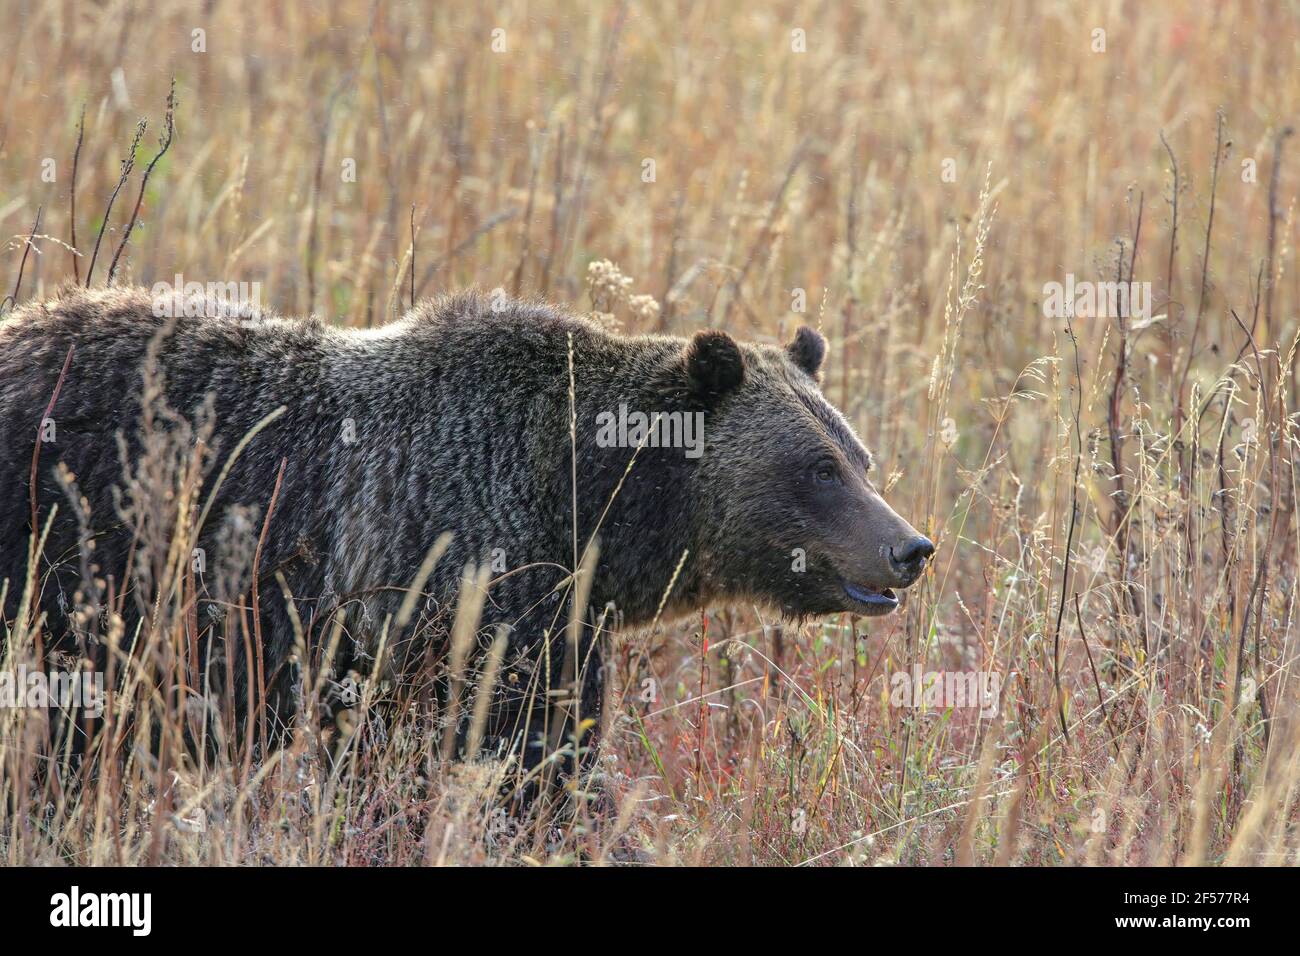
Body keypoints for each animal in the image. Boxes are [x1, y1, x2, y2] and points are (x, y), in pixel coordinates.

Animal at [0, 285, 932, 792]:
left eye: (859, 456)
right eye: (817, 468)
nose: (910, 547)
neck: (583, 503)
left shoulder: (560, 615)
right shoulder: (454, 573)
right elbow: (504, 755)